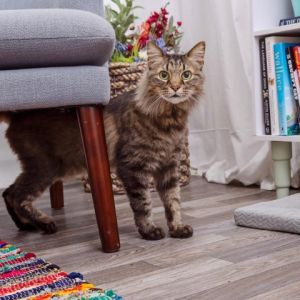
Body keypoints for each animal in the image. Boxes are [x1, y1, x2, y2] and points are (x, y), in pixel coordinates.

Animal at [0, 41, 205, 240]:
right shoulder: (132, 167)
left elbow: (173, 202)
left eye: (186, 75)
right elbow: (143, 203)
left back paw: (25, 226)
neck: (170, 119)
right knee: (16, 196)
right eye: (163, 75)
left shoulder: (169, 167)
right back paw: (44, 223)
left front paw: (177, 228)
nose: (176, 87)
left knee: (8, 192)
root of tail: (17, 115)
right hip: (45, 167)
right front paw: (149, 230)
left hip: (51, 168)